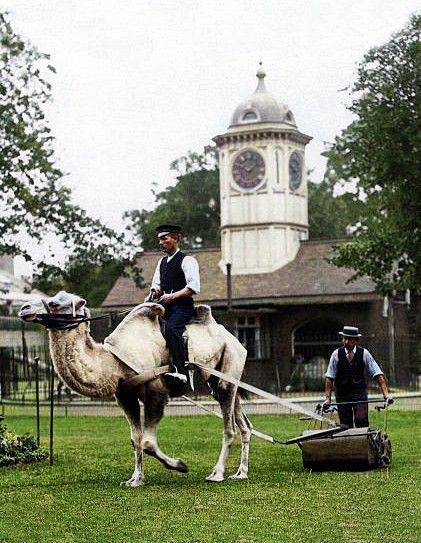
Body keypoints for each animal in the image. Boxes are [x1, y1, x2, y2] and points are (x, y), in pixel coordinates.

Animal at [18, 292, 251, 486]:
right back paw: (240, 473)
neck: (113, 364)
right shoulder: (125, 395)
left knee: (229, 428)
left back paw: (217, 474)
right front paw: (135, 480)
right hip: (220, 382)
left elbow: (147, 442)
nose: (23, 308)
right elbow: (136, 439)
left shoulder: (156, 392)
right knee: (244, 424)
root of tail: (235, 340)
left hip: (229, 371)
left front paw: (179, 465)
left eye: (54, 303)